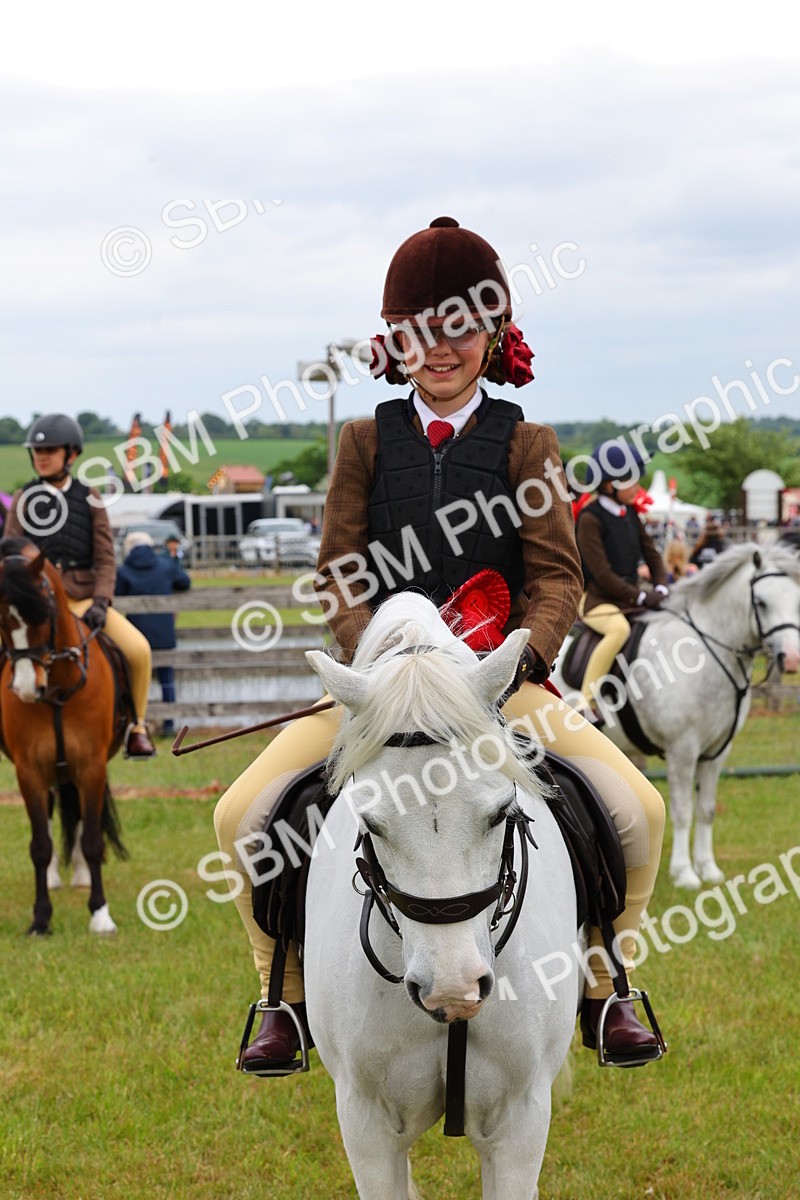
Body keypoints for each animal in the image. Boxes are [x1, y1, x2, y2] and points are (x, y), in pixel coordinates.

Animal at [0, 538, 129, 934]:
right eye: (1, 622)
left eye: (45, 614)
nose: (27, 689)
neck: (57, 688)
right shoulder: (29, 770)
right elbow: (39, 844)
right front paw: (41, 919)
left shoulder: (91, 766)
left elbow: (91, 839)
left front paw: (100, 914)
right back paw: (57, 876)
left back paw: (84, 876)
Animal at [552, 542, 800, 889]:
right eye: (761, 602)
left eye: (797, 601)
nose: (791, 659)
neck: (703, 654)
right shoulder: (682, 750)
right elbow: (683, 810)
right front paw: (684, 872)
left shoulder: (717, 754)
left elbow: (707, 809)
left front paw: (707, 868)